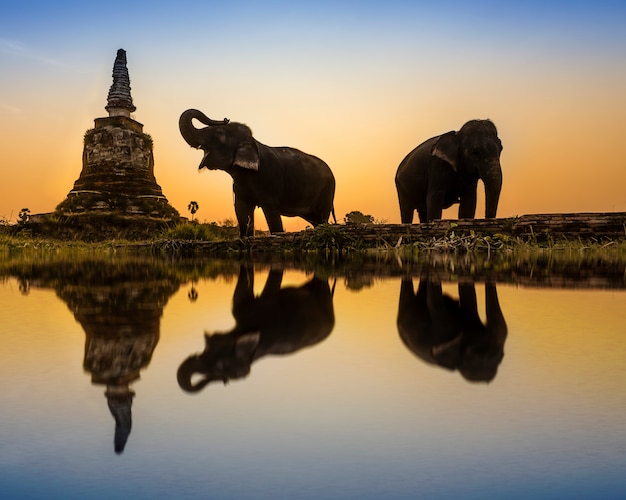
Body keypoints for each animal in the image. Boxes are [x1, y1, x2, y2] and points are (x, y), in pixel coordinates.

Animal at [179, 109, 336, 236]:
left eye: (220, 133)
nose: (225, 118)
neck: (253, 141)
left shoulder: (270, 180)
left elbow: (272, 213)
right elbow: (242, 211)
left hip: (327, 191)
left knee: (322, 217)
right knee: (317, 221)